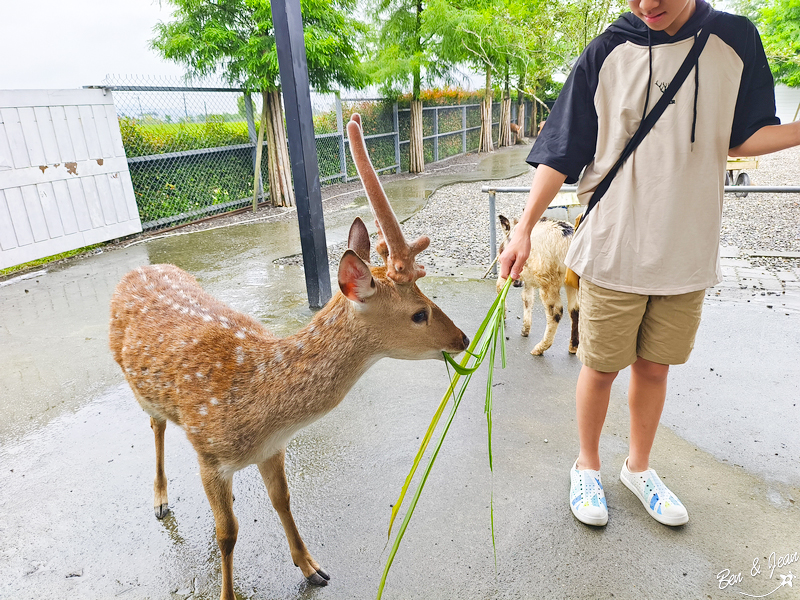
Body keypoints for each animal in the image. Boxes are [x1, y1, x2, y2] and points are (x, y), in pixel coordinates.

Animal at [108, 113, 468, 600]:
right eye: (419, 313)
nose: (463, 338)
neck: (258, 403)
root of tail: (132, 273)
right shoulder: (211, 455)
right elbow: (227, 534)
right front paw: (228, 592)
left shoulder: (272, 449)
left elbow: (282, 500)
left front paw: (312, 567)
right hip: (140, 390)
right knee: (157, 426)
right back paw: (161, 501)